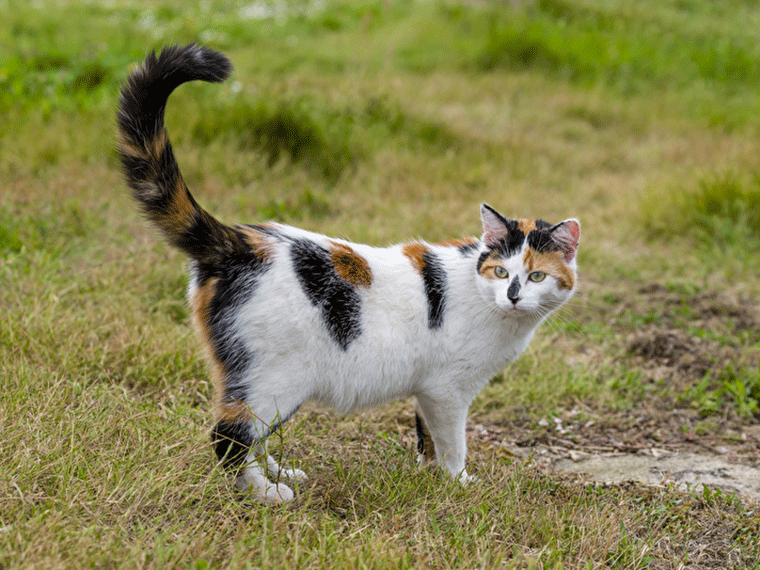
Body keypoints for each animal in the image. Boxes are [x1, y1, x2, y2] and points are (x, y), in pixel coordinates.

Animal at [117, 43, 580, 502]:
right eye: (502, 272)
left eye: (536, 277)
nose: (514, 295)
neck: (487, 300)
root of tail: (239, 241)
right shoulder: (448, 389)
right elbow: (452, 441)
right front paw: (458, 482)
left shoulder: (427, 389)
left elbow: (426, 436)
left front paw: (428, 475)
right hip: (275, 376)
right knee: (230, 434)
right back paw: (264, 492)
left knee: (251, 434)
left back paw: (278, 471)